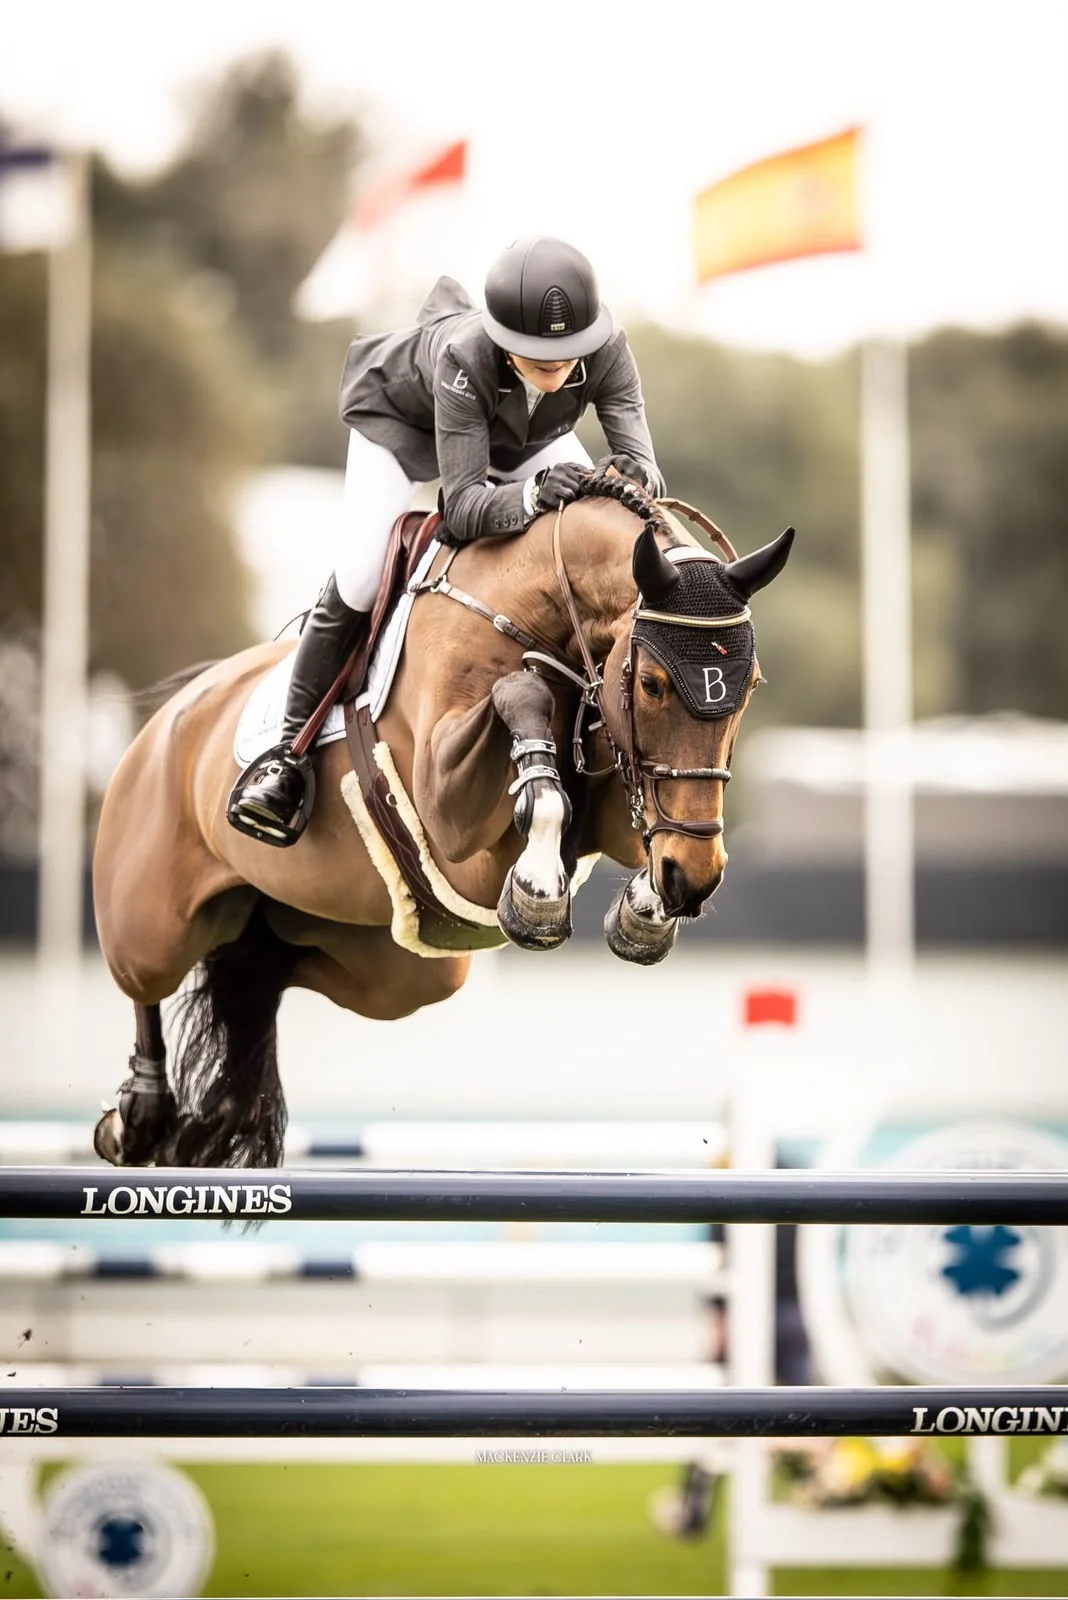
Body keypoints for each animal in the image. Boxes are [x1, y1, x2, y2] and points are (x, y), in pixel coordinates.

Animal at [91, 474, 794, 1170]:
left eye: (750, 687)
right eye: (651, 684)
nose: (693, 881)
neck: (538, 614)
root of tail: (169, 717)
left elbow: (642, 813)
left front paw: (644, 909)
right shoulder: (452, 821)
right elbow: (523, 699)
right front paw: (541, 890)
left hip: (396, 972)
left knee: (260, 968)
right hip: (153, 924)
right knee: (146, 979)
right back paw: (140, 1117)